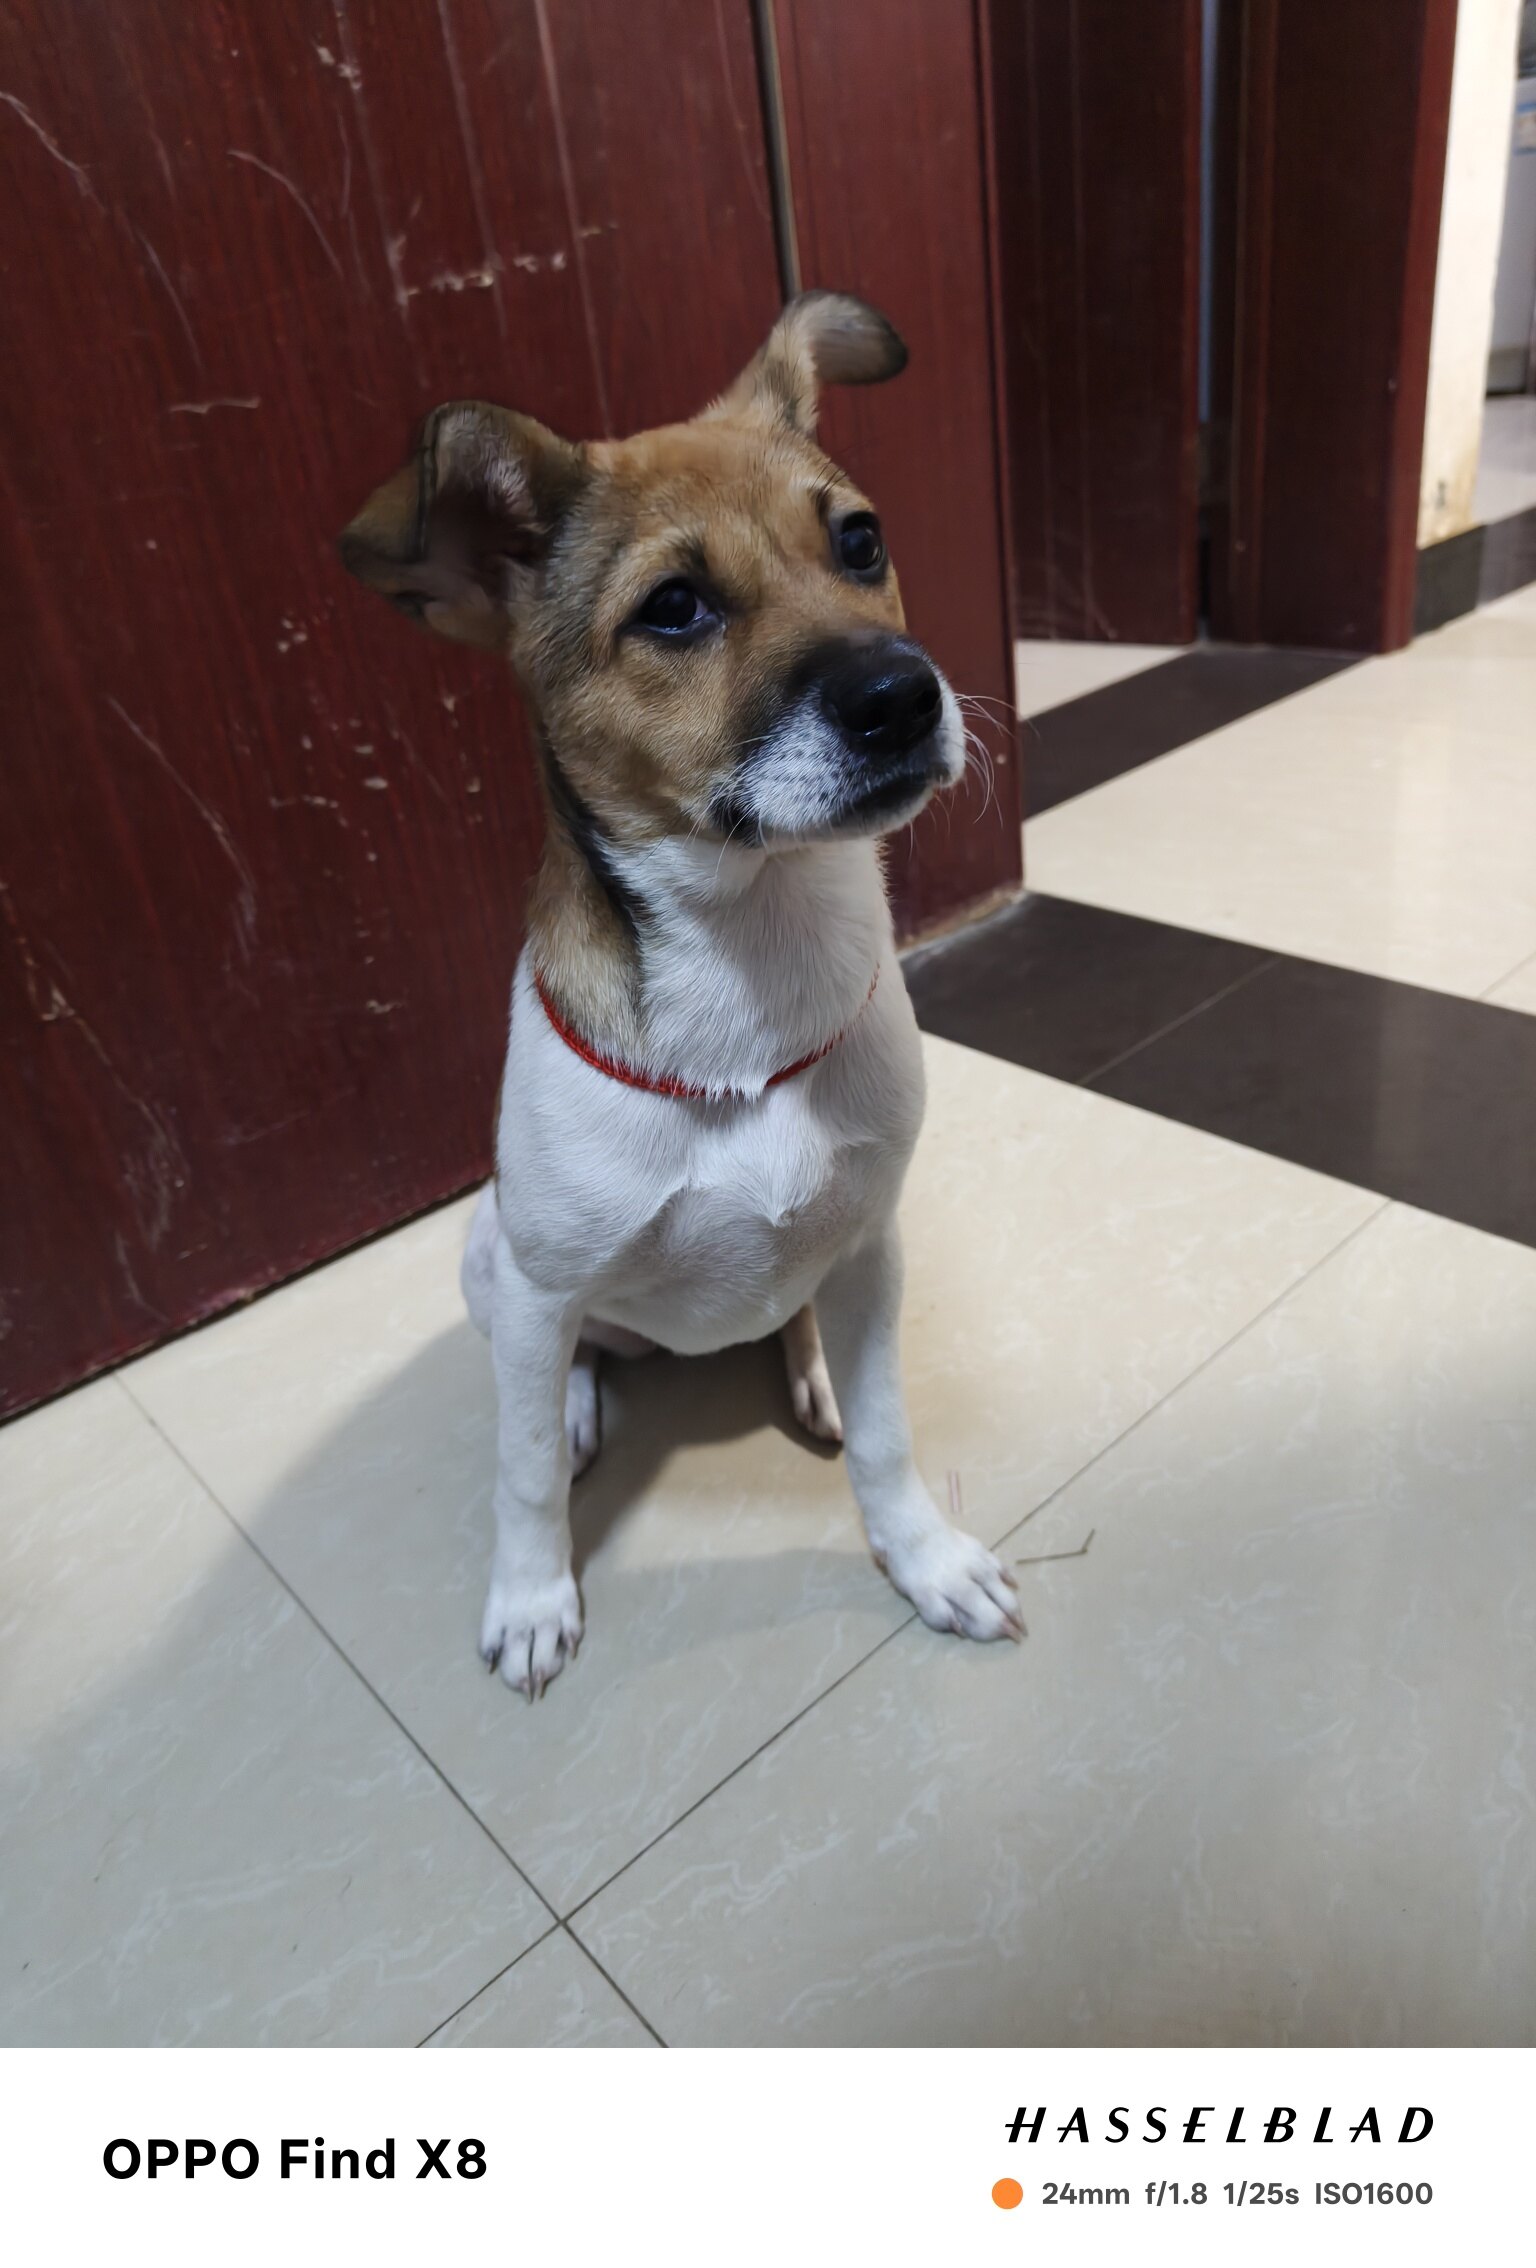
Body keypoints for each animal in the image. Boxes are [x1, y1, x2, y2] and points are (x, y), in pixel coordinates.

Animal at [340, 292, 1021, 1696]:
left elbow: (890, 1436)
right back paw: (578, 1400)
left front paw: (923, 1559)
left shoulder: (872, 1235)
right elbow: (520, 1476)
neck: (753, 973)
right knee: (547, 1373)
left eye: (860, 538)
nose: (905, 694)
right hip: (495, 1258)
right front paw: (532, 1597)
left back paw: (810, 1367)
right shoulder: (540, 1279)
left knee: (803, 1317)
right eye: (672, 608)